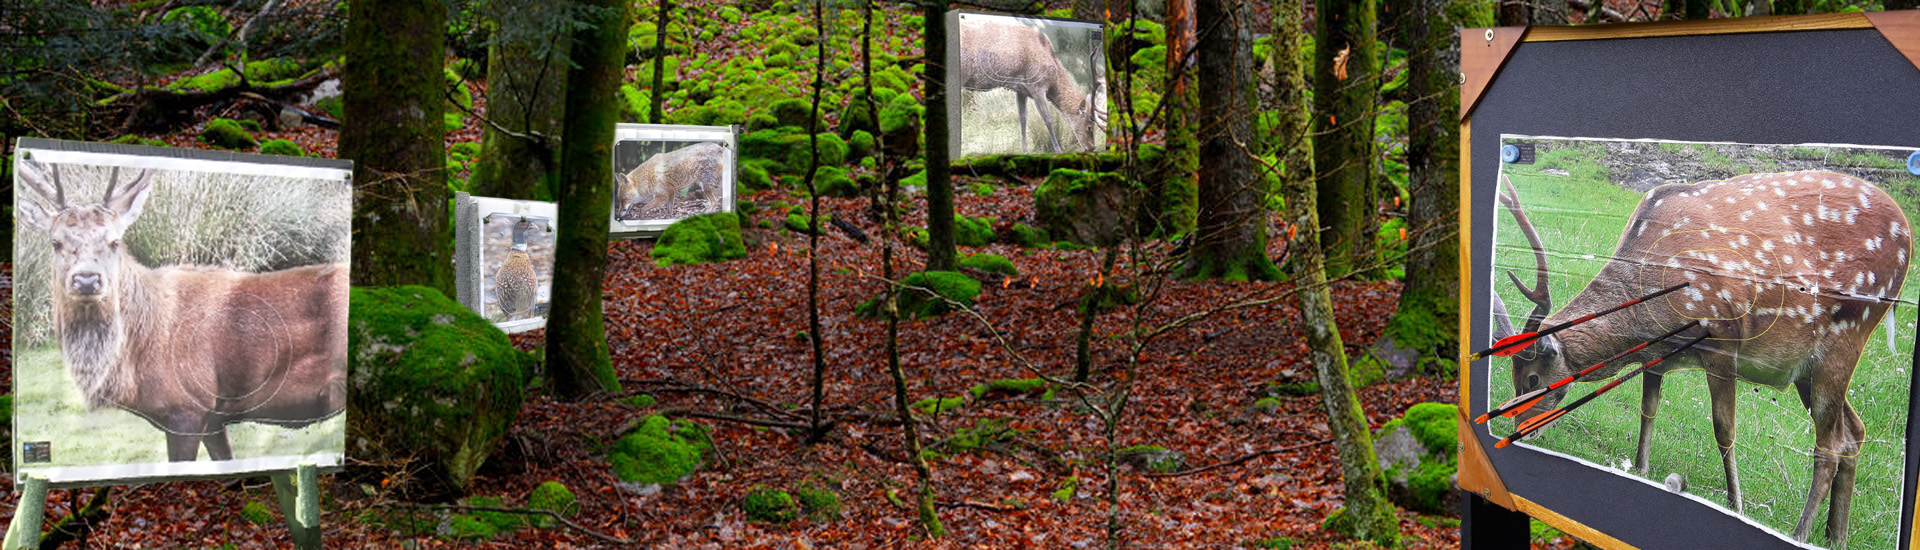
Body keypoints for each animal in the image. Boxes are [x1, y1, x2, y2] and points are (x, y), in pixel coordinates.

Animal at [959, 20, 1108, 154]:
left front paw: (1025, 150)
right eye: (1089, 126)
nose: (1091, 147)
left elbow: (1023, 118)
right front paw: (1058, 150)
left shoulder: (1021, 90)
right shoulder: (1037, 87)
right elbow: (1048, 119)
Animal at [1491, 171, 1912, 549]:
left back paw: (1800, 533)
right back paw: (1836, 536)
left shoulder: (1722, 337)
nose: (1519, 427)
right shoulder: (1657, 357)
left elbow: (1724, 428)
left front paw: (1736, 504)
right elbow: (1648, 408)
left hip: (1847, 336)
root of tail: (1906, 233)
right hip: (1806, 372)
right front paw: (1641, 467)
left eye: (1532, 378)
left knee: (1829, 444)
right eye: (1512, 377)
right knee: (1854, 431)